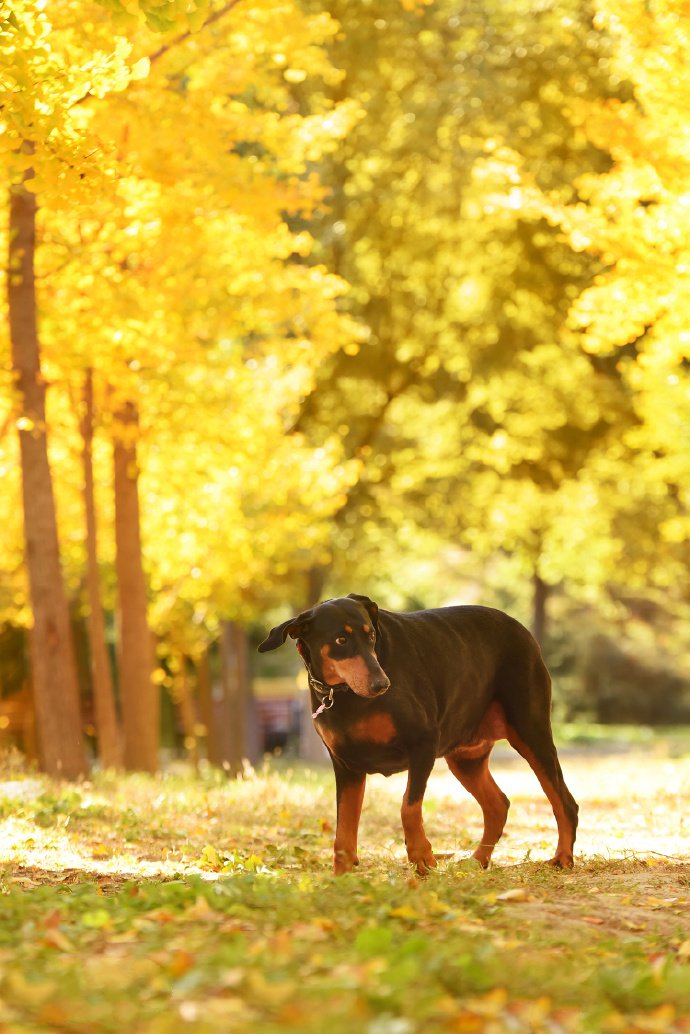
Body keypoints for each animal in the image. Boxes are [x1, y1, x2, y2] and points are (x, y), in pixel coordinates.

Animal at [258, 595, 579, 876]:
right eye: (341, 640)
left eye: (371, 636)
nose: (382, 684)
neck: (344, 695)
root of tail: (521, 629)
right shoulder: (346, 765)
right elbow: (344, 828)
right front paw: (342, 877)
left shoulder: (423, 743)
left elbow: (408, 807)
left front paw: (421, 856)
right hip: (466, 758)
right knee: (498, 804)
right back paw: (476, 861)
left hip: (531, 732)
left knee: (564, 802)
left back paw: (562, 857)